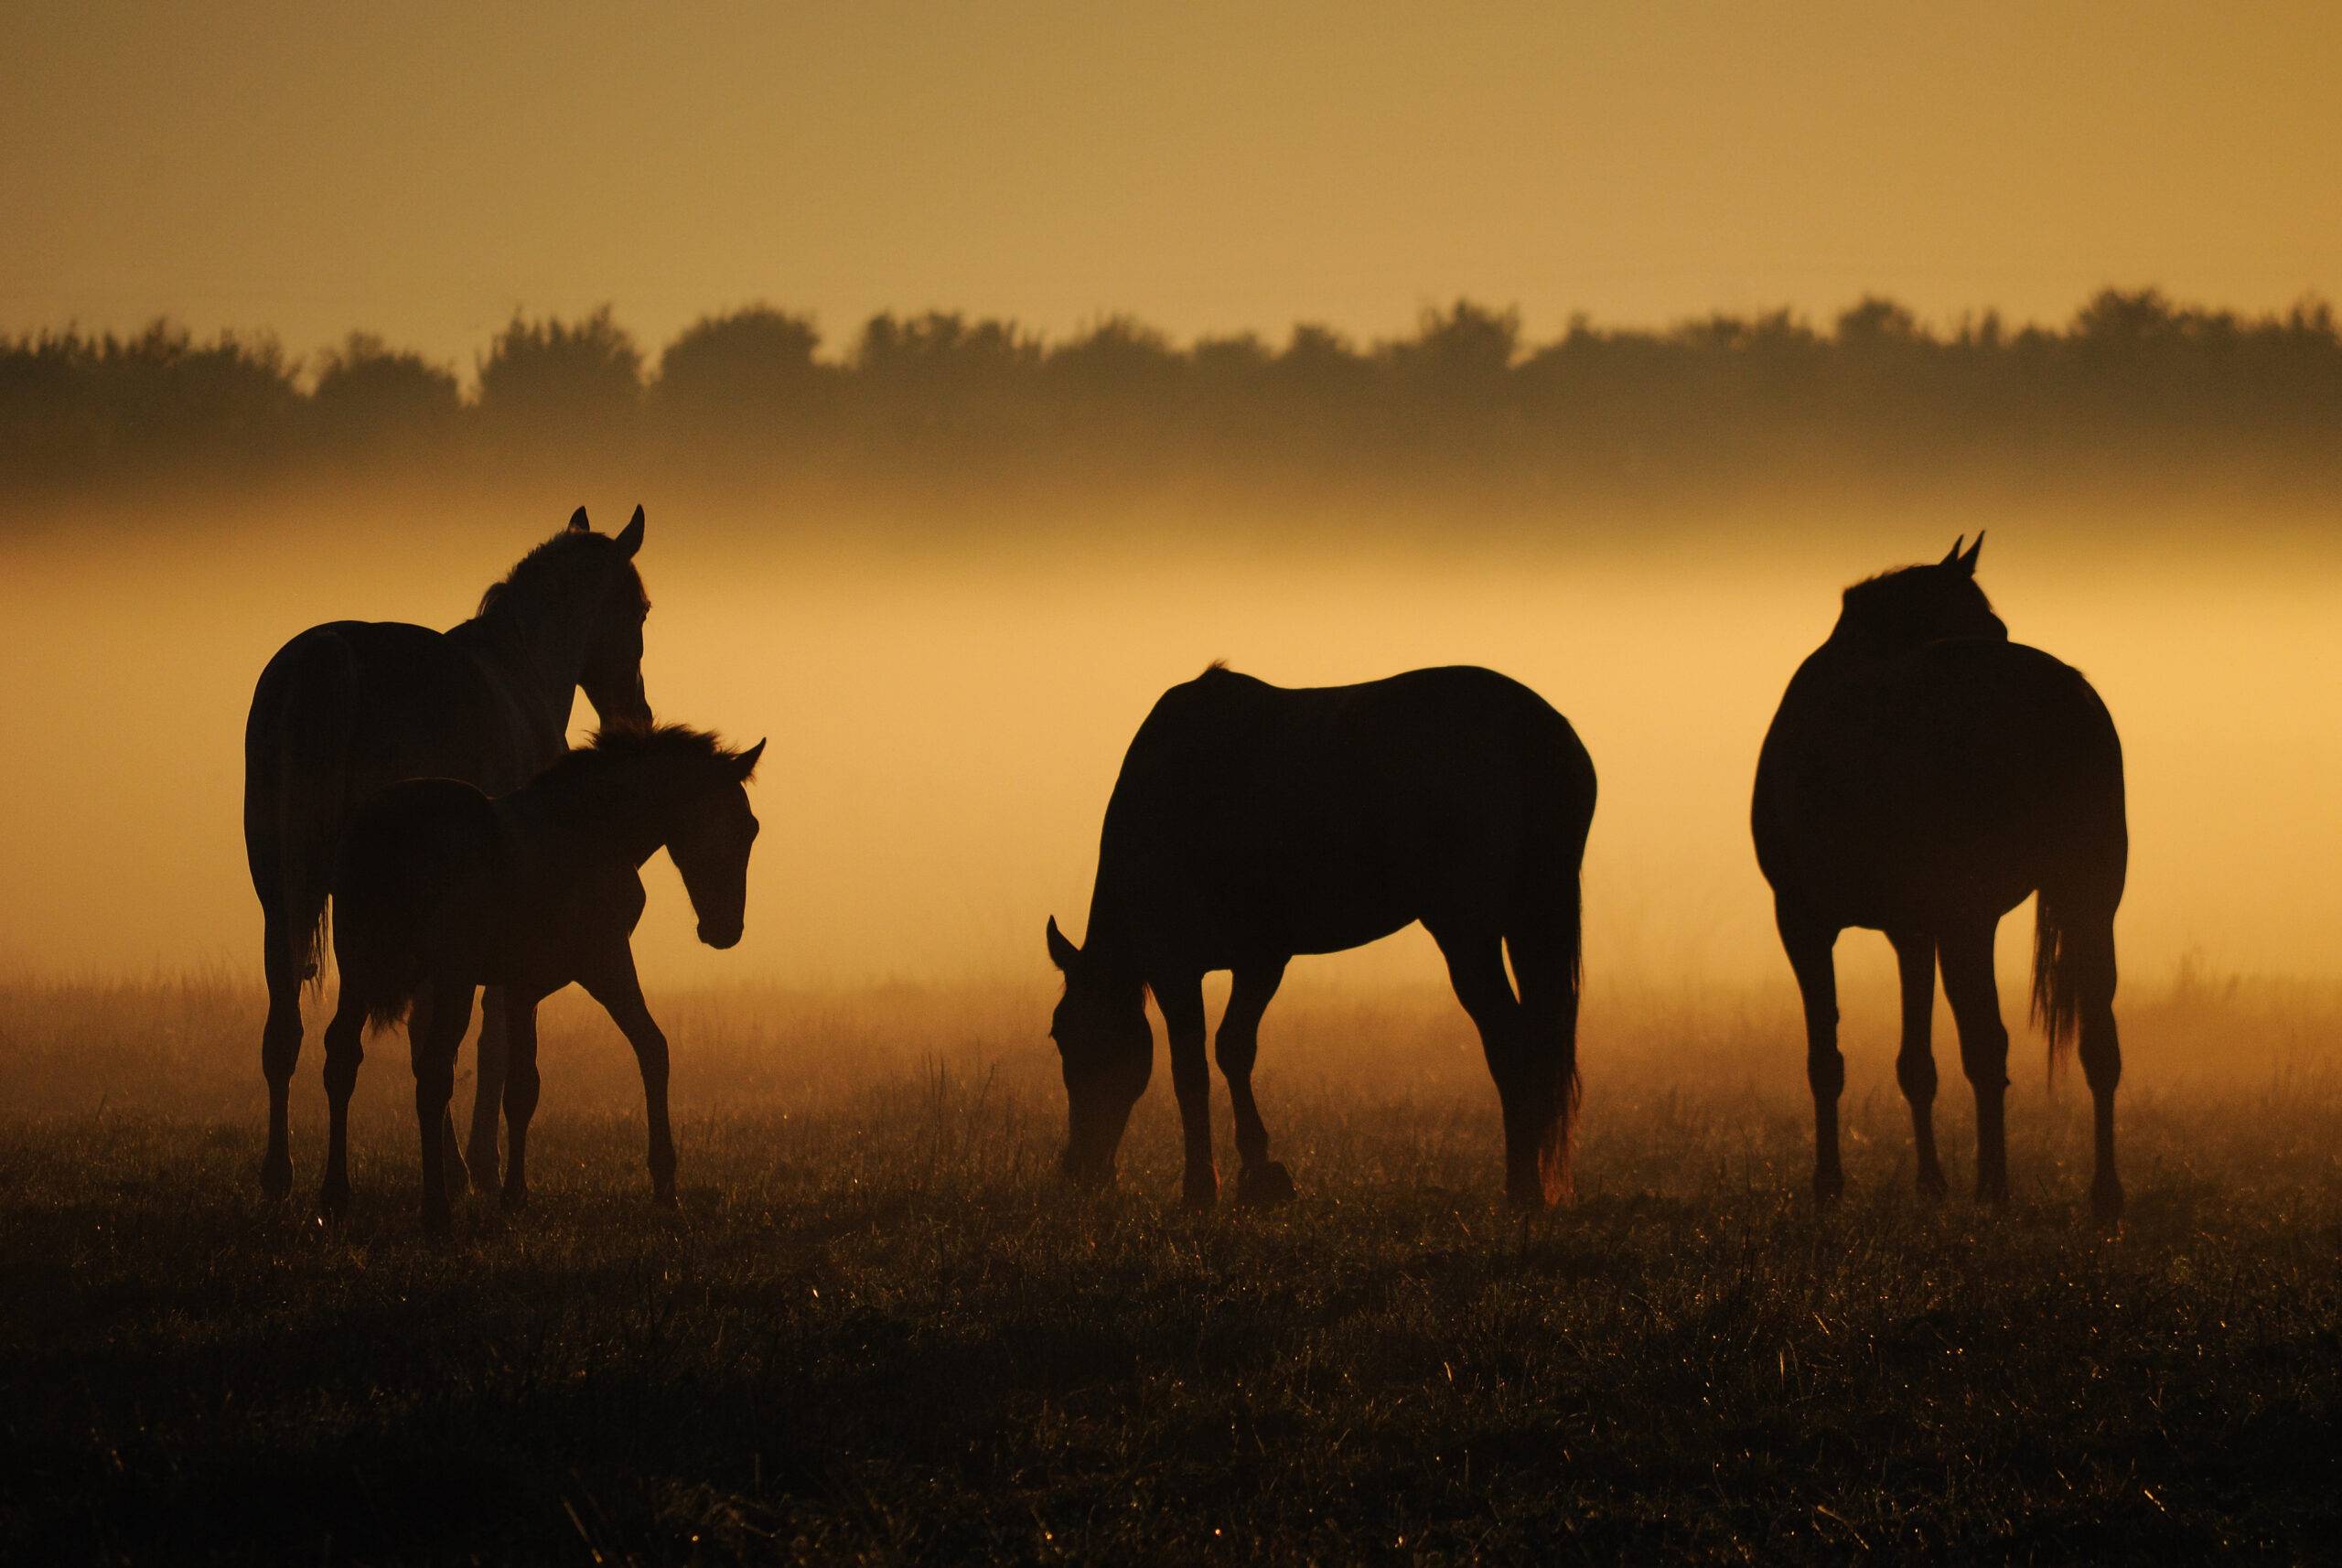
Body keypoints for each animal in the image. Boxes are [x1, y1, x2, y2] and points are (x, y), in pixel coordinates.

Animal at [245, 503, 655, 1208]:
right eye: (640, 612)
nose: (638, 714)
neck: (521, 675)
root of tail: (324, 665)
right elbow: (481, 1039)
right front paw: (478, 1167)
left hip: (284, 899)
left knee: (286, 1034)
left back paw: (281, 1178)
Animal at [316, 730, 758, 1244]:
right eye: (740, 826)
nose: (725, 930)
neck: (589, 830)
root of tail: (384, 831)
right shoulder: (605, 961)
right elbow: (653, 1048)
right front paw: (665, 1184)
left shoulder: (520, 987)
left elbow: (522, 1087)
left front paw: (515, 1196)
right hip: (451, 977)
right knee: (433, 1073)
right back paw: (436, 1210)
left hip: (358, 970)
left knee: (342, 1059)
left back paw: (334, 1198)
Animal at [1054, 664, 1602, 1217]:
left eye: (1071, 1037)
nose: (1078, 1172)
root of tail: (1538, 729)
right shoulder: (1258, 960)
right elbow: (1234, 1050)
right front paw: (1260, 1176)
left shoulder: (1183, 968)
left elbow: (1193, 1068)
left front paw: (1203, 1188)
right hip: (1526, 918)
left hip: (1467, 932)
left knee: (1510, 1040)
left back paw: (1522, 1191)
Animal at [1761, 540, 2126, 1226]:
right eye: (1989, 624)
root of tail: (2061, 695)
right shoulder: (1911, 930)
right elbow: (1915, 1063)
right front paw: (1929, 1183)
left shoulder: (1802, 919)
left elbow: (1827, 1059)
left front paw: (1829, 1185)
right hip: (2091, 900)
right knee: (2100, 1045)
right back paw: (2105, 1196)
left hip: (1971, 918)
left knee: (1987, 1046)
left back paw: (1995, 1189)